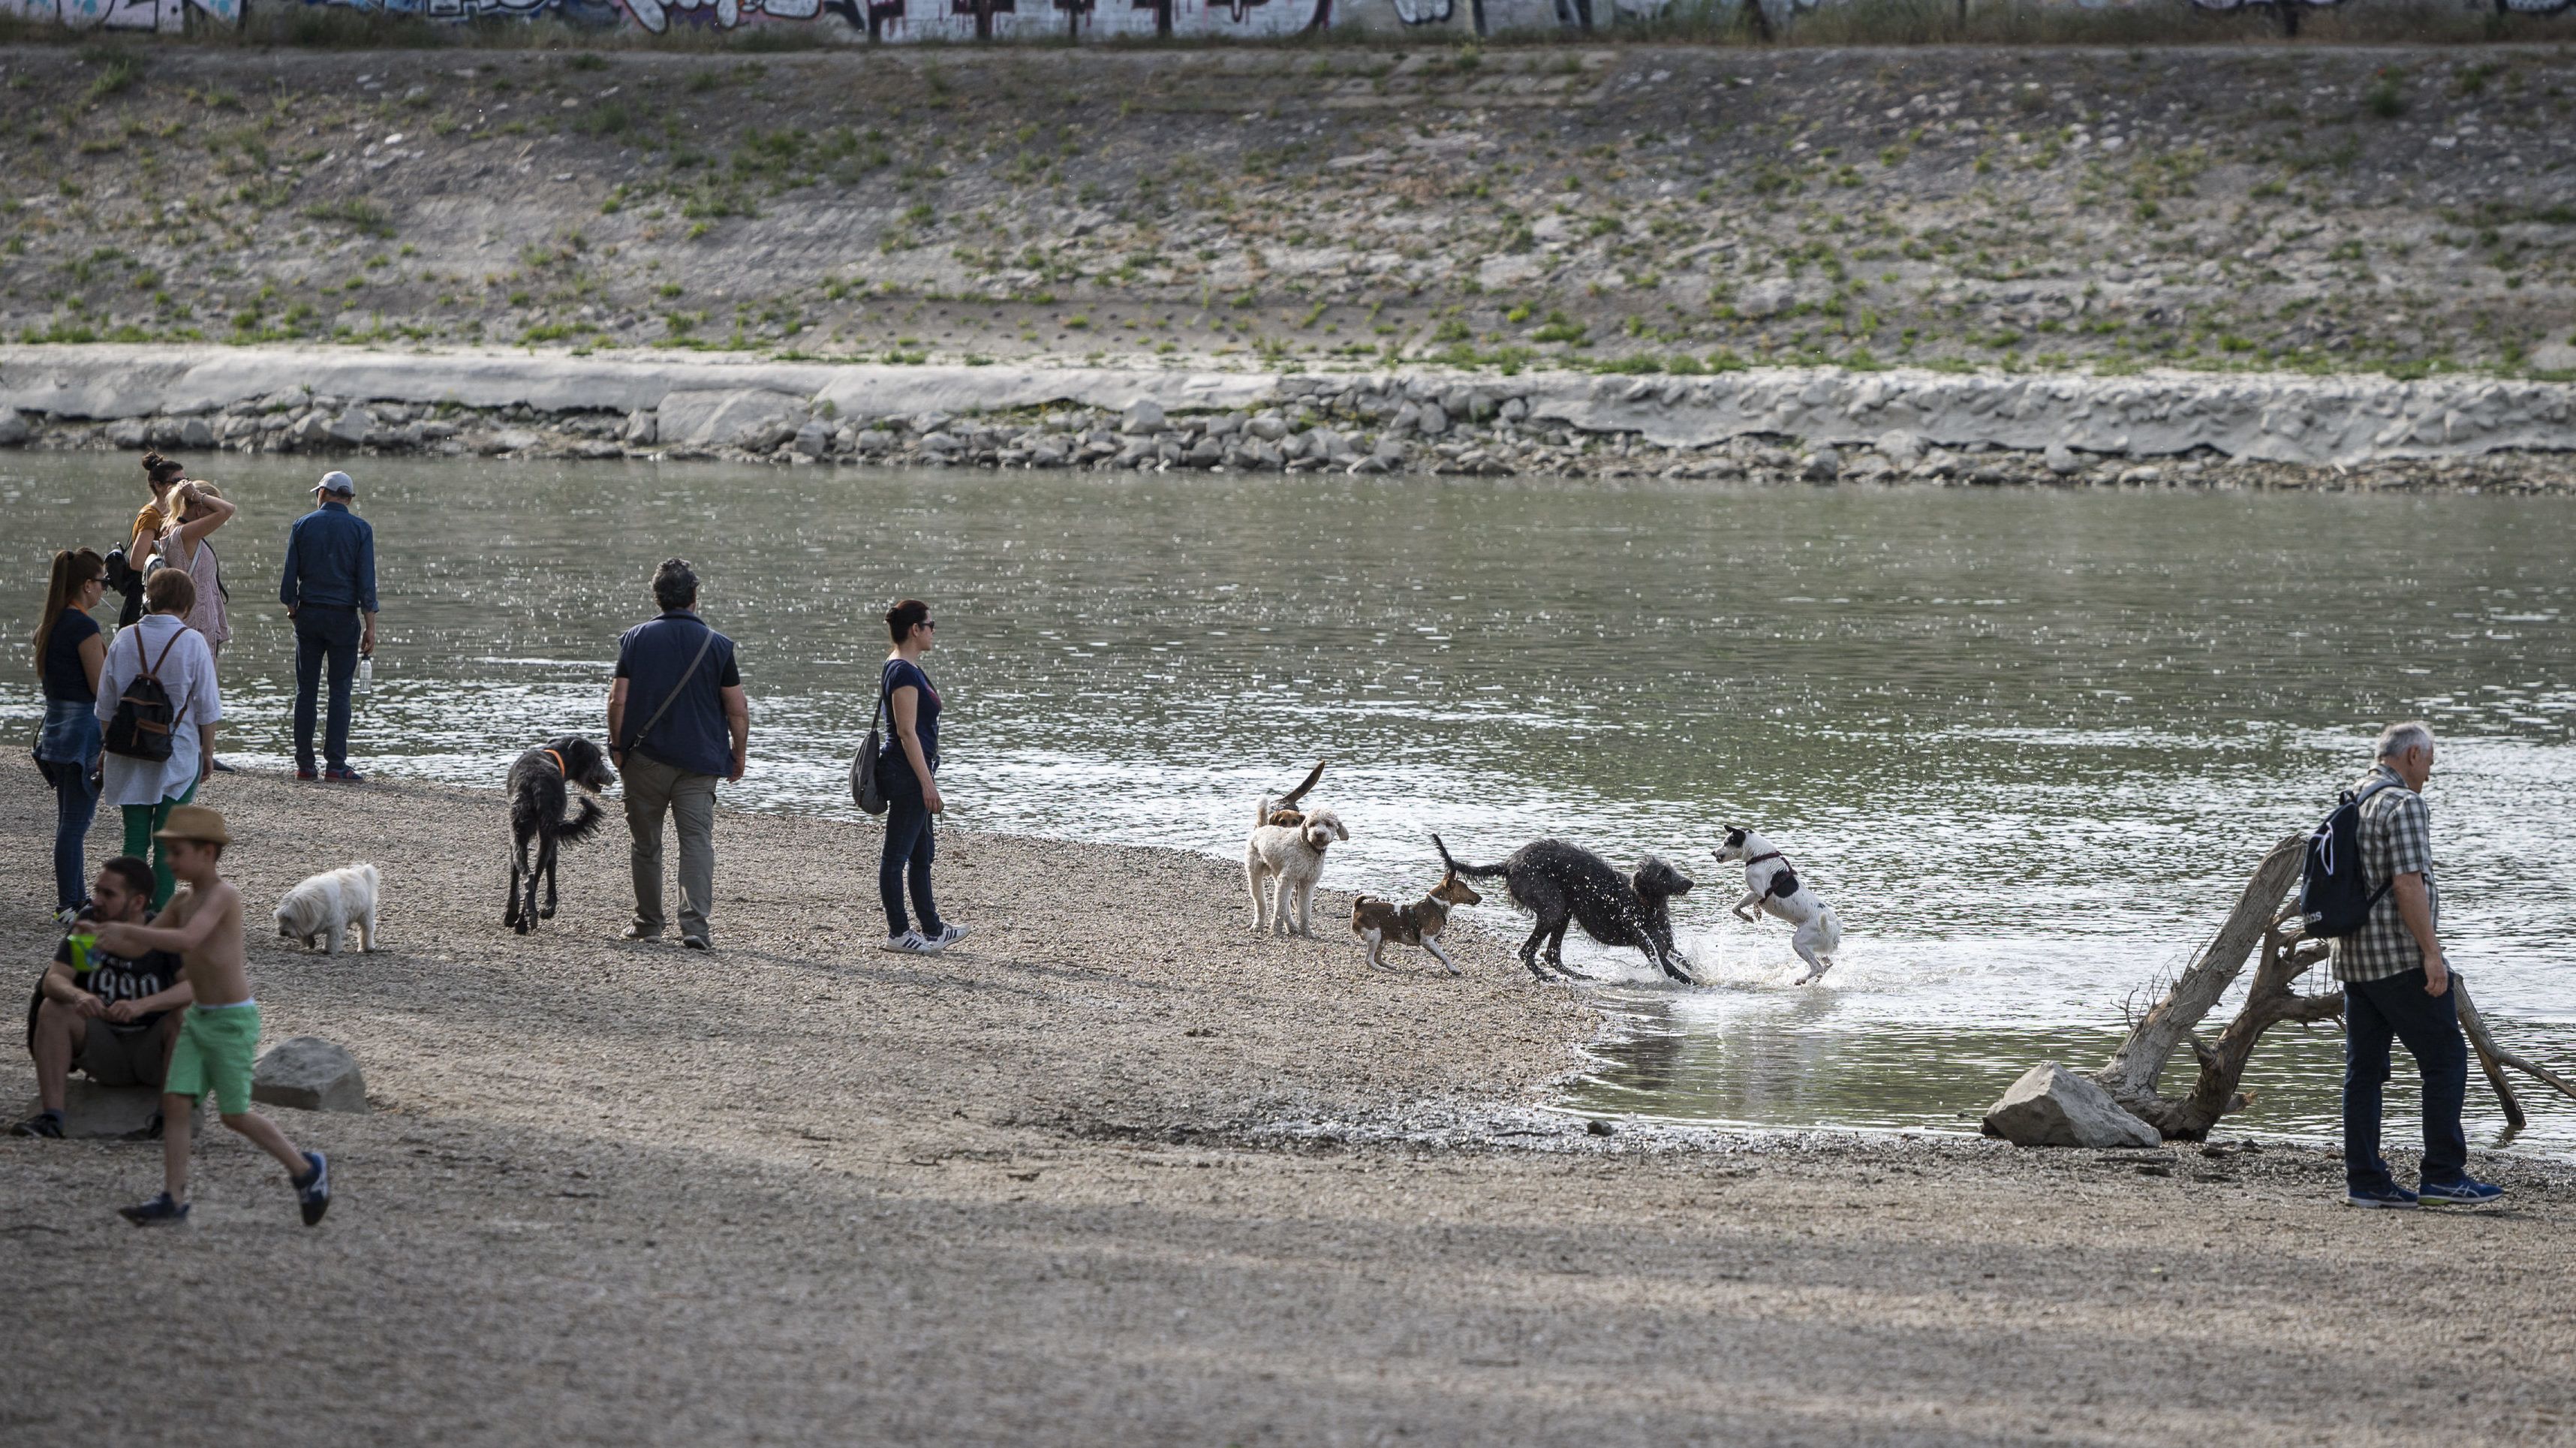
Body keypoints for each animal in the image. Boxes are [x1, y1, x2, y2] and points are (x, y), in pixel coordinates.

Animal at [272, 860, 381, 953]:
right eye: (281, 919)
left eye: (290, 919)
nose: (282, 933)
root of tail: (360, 873)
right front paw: (310, 941)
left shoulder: (335, 924)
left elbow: (332, 939)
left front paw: (329, 950)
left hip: (365, 915)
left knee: (366, 931)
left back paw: (366, 947)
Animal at [507, 736, 618, 927]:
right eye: (597, 758)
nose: (613, 777)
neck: (553, 755)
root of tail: (535, 783)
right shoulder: (552, 834)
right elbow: (552, 867)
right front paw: (549, 907)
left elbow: (514, 875)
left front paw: (510, 914)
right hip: (546, 835)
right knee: (535, 877)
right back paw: (526, 920)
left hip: (520, 831)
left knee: (527, 876)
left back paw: (522, 920)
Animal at [1360, 860, 1483, 974]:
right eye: (1466, 887)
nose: (1481, 897)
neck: (1436, 906)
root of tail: (1358, 907)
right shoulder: (1427, 940)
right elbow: (1444, 956)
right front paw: (1453, 969)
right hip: (1374, 936)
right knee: (1369, 960)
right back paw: (1382, 969)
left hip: (1382, 939)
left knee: (1377, 958)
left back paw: (1389, 966)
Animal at [1432, 835, 1690, 979]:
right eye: (1664, 873)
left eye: (1672, 869)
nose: (1689, 882)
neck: (1640, 901)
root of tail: (1509, 864)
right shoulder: (1646, 943)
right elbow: (1673, 969)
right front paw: (1694, 984)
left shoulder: (1664, 943)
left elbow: (1681, 960)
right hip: (1552, 907)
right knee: (1527, 952)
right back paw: (1544, 976)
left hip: (1564, 911)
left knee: (1551, 955)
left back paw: (1577, 975)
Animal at [1720, 824, 1844, 979]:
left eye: (1727, 843)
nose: (1713, 852)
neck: (1760, 855)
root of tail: (1834, 927)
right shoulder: (1755, 894)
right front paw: (1756, 913)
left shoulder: (1757, 892)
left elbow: (1736, 907)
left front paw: (1747, 917)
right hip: (1816, 947)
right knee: (1828, 964)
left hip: (1799, 943)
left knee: (1818, 968)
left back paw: (1801, 980)